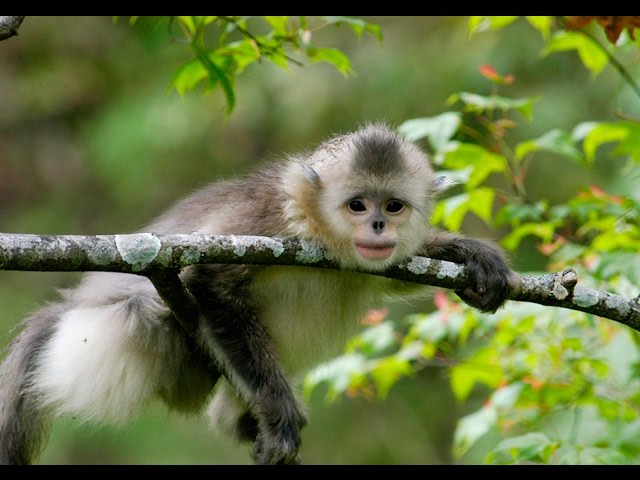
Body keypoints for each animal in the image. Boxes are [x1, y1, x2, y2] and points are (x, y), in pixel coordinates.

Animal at [0, 124, 512, 464]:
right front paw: (280, 416)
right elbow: (207, 281)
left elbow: (390, 270)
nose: (378, 226)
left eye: (393, 206)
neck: (314, 227)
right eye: (357, 205)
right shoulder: (266, 223)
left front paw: (471, 253)